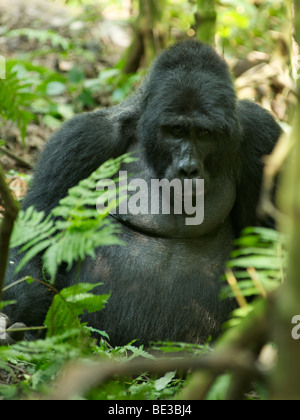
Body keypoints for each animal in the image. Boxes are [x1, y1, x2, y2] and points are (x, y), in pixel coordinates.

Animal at [2, 41, 282, 346]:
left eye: (205, 134)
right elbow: (33, 242)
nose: (188, 169)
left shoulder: (262, 135)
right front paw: (18, 320)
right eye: (176, 130)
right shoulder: (81, 139)